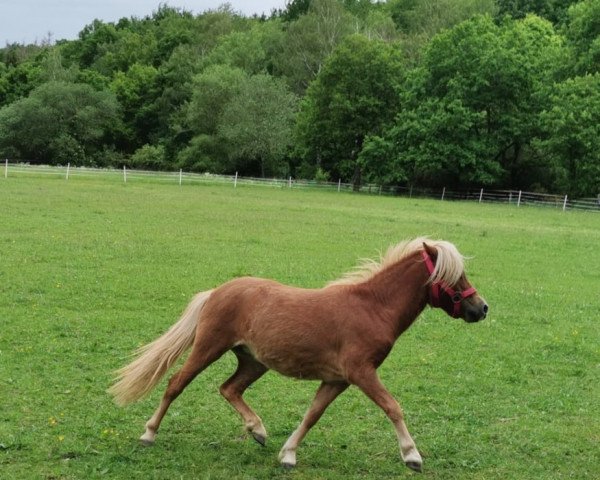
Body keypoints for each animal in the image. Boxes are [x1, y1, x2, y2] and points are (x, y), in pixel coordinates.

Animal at [110, 238, 490, 470]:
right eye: (455, 277)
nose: (481, 308)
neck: (372, 308)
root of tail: (217, 291)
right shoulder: (361, 373)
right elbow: (392, 406)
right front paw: (412, 456)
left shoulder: (337, 380)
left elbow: (312, 415)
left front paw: (288, 454)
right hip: (208, 347)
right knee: (176, 383)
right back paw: (148, 434)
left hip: (253, 361)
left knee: (229, 389)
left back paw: (258, 430)